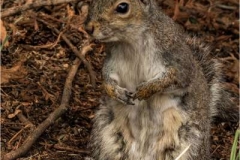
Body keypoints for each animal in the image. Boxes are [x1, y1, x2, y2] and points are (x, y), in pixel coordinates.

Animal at [84, 0, 238, 159]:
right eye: (92, 2)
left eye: (122, 7)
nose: (88, 28)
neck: (129, 42)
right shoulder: (111, 63)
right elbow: (106, 79)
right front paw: (116, 92)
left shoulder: (178, 61)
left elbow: (175, 79)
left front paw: (146, 89)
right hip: (106, 135)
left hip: (190, 144)